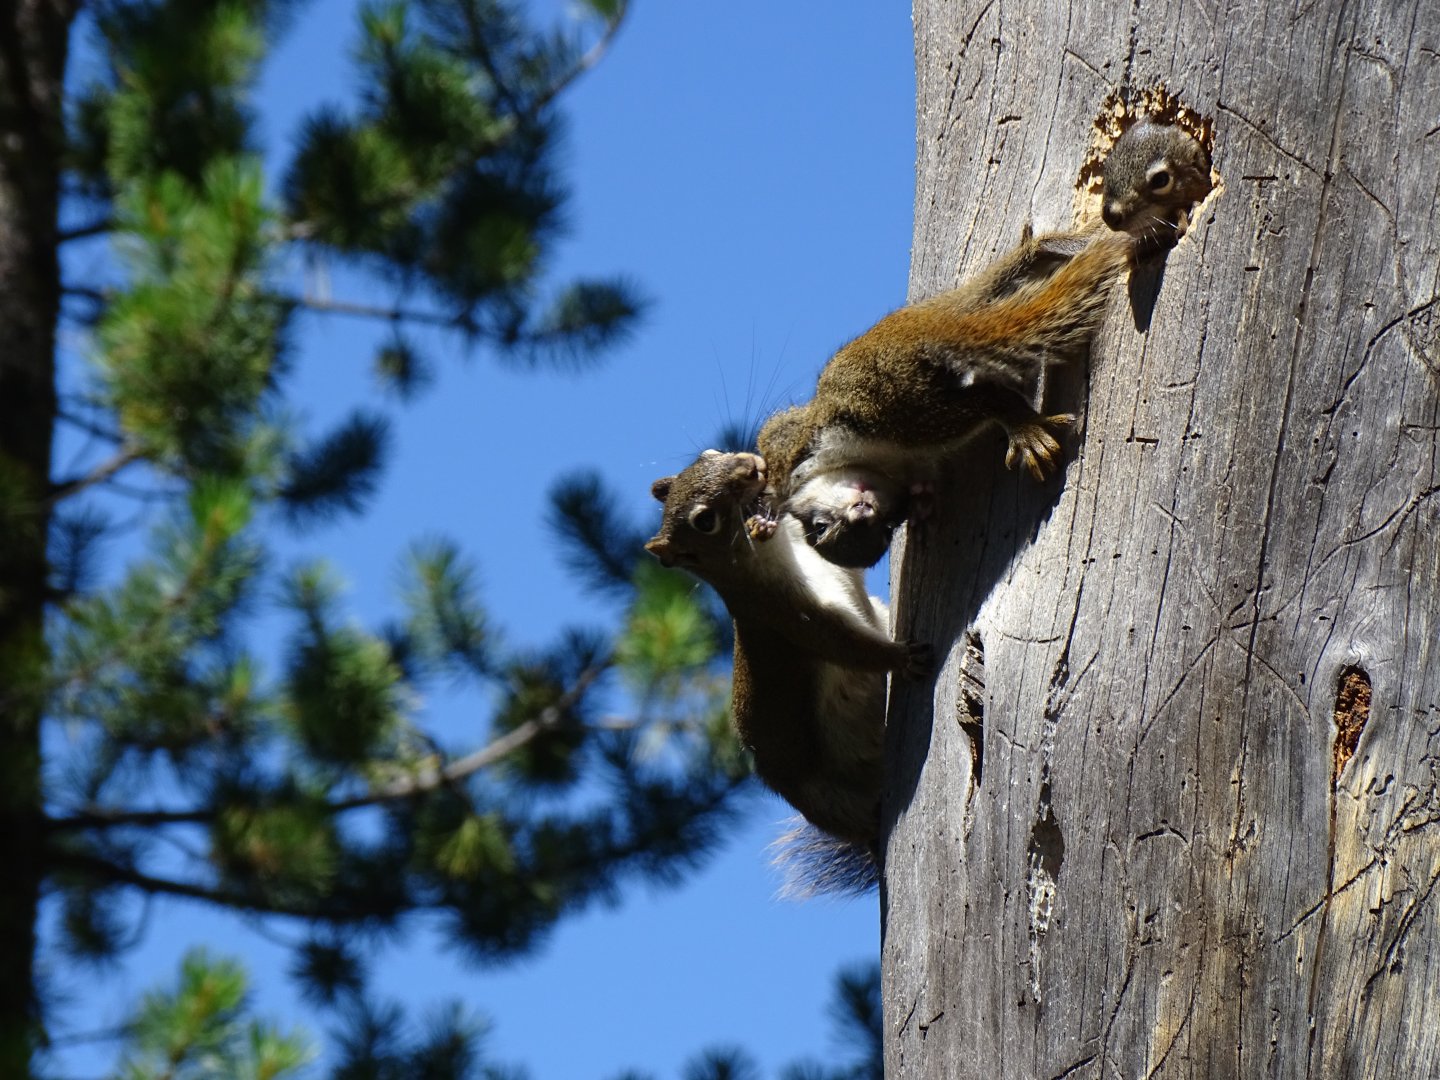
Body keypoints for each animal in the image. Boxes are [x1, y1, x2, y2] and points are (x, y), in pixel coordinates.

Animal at [644, 450, 931, 878]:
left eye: (709, 455)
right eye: (704, 521)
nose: (751, 466)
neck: (785, 548)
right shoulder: (786, 615)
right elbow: (846, 645)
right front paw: (904, 658)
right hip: (830, 799)